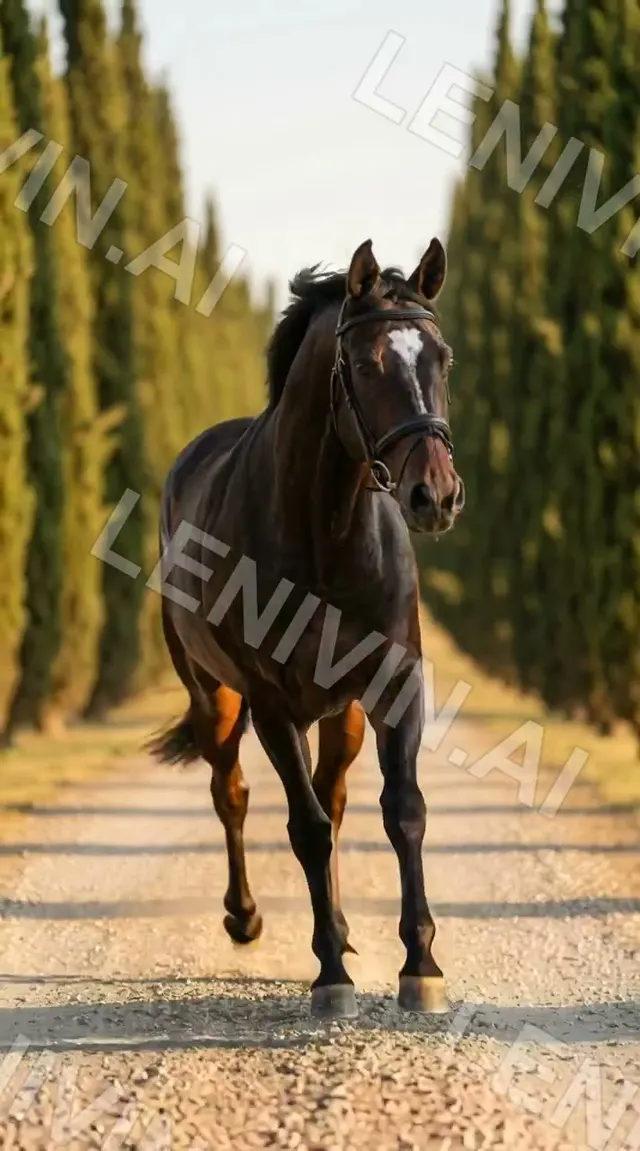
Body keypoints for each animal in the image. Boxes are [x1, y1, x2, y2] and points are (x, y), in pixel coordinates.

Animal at [148, 237, 465, 1019]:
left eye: (441, 358)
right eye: (366, 365)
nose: (436, 496)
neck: (327, 533)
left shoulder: (394, 687)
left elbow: (402, 811)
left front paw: (421, 967)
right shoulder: (271, 704)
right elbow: (307, 827)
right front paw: (330, 977)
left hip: (340, 712)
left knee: (338, 795)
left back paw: (345, 930)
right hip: (214, 698)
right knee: (232, 792)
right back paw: (245, 916)